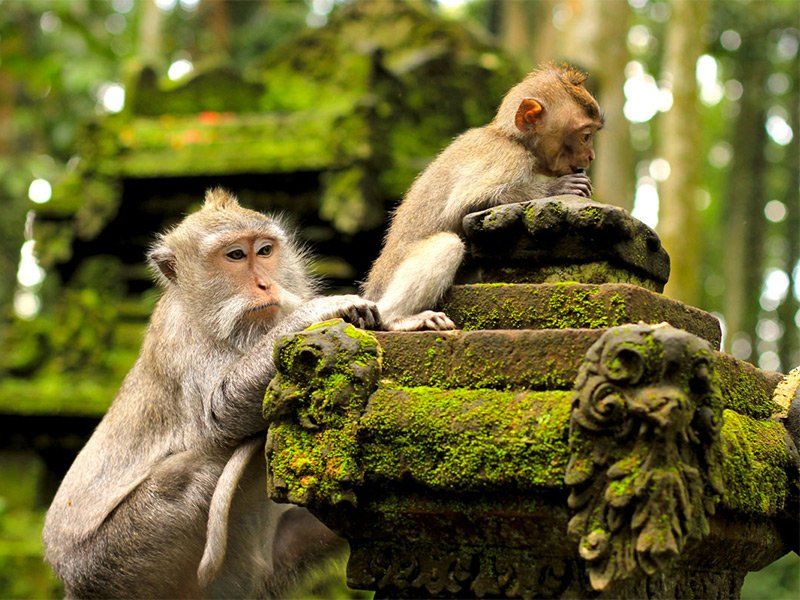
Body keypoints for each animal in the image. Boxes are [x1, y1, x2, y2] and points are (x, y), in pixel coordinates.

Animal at [43, 188, 380, 598]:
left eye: (264, 251)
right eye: (235, 256)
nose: (265, 285)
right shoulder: (182, 339)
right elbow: (220, 414)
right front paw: (316, 311)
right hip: (115, 560)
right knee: (191, 468)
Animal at [363, 64, 603, 331]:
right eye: (585, 136)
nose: (591, 156)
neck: (512, 138)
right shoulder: (509, 158)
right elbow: (466, 203)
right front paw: (557, 187)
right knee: (447, 244)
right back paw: (396, 318)